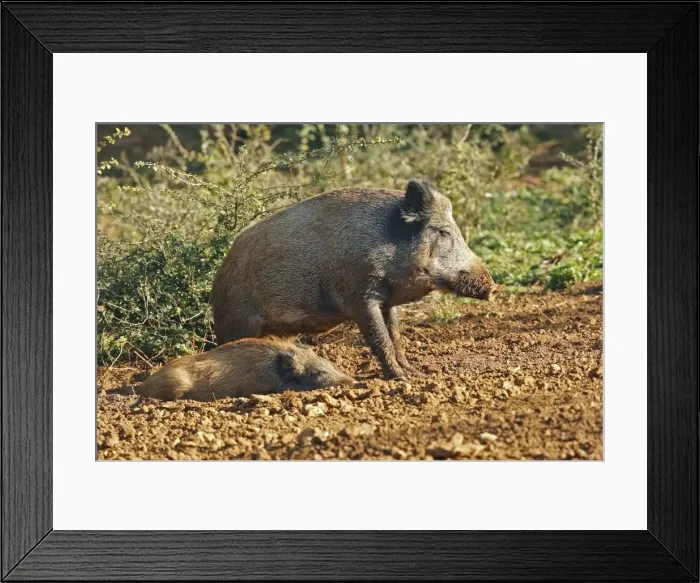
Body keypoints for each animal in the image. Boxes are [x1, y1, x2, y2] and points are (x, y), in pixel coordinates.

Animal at [211, 179, 500, 380]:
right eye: (443, 232)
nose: (493, 287)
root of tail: (218, 278)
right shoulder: (360, 296)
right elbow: (380, 339)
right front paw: (401, 378)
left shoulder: (387, 301)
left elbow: (396, 335)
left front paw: (415, 372)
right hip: (238, 321)